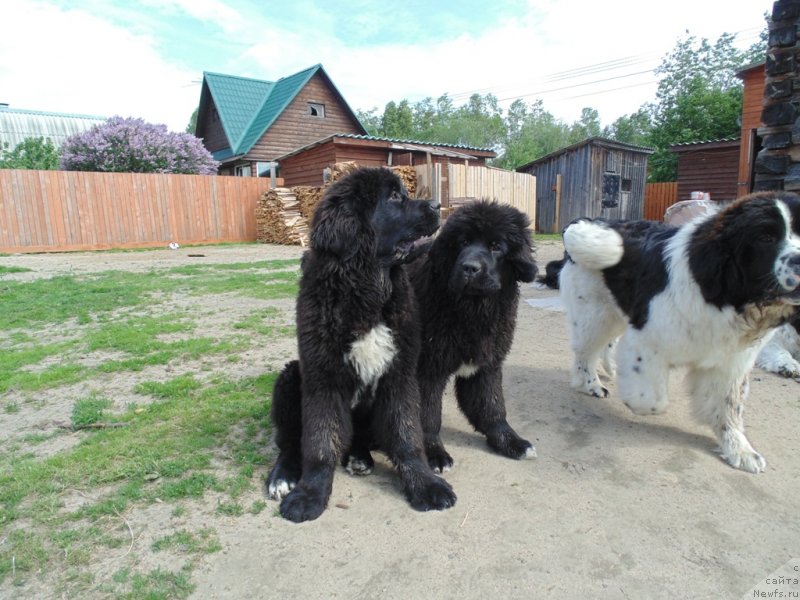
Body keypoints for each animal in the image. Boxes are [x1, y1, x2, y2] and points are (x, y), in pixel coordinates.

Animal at [266, 166, 456, 524]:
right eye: (394, 198)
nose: (437, 205)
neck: (367, 290)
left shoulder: (399, 375)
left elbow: (407, 436)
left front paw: (425, 484)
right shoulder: (322, 378)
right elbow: (320, 443)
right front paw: (309, 494)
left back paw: (359, 457)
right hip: (290, 378)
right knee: (290, 441)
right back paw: (282, 476)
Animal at [406, 199, 536, 472]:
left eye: (497, 246)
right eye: (463, 242)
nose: (469, 268)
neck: (472, 310)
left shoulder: (486, 365)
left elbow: (492, 406)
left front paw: (510, 442)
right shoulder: (427, 369)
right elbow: (428, 415)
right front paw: (434, 452)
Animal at [560, 192, 800, 474]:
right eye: (766, 238)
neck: (725, 292)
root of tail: (587, 221)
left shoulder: (731, 361)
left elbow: (728, 406)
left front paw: (739, 448)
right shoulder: (647, 339)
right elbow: (651, 400)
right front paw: (634, 398)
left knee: (606, 344)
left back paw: (610, 369)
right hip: (595, 316)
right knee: (585, 353)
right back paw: (590, 384)